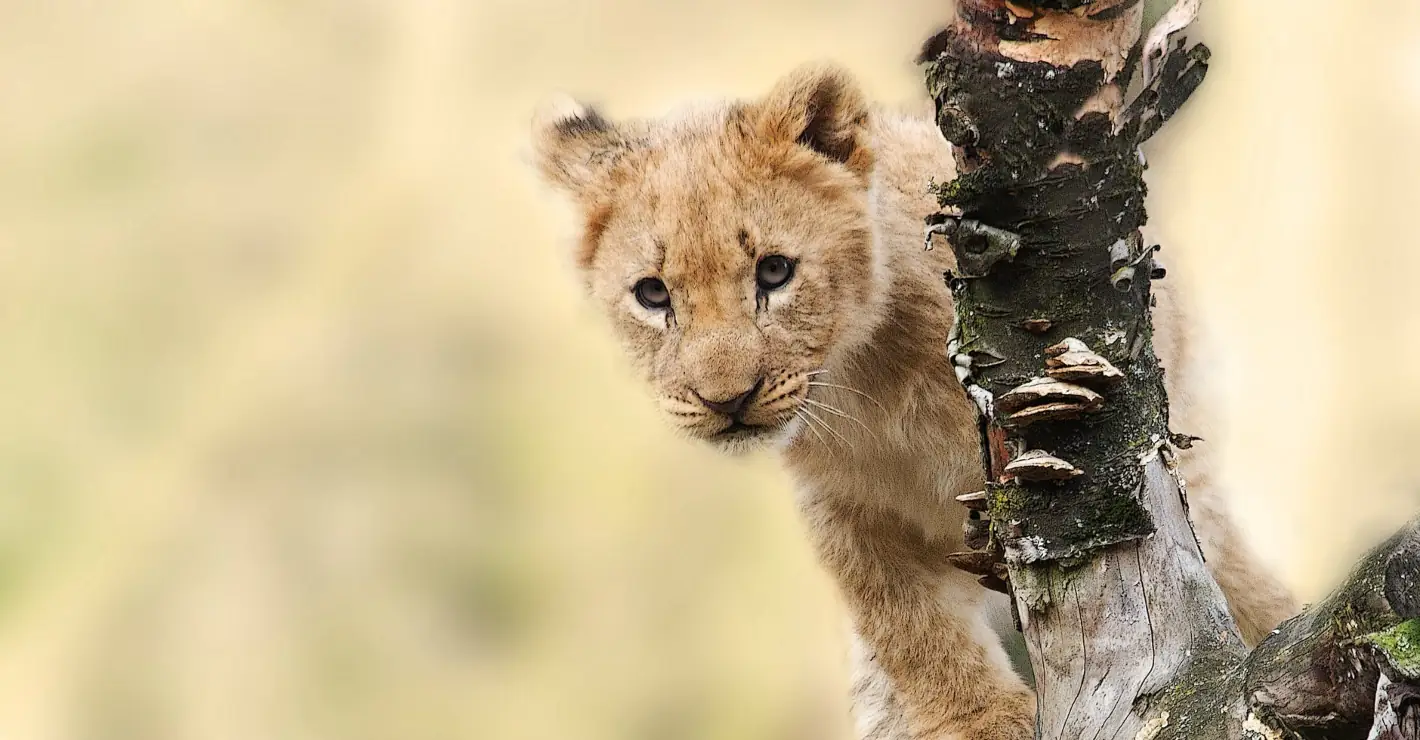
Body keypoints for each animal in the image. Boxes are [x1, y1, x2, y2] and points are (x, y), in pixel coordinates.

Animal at [530, 64, 1296, 740]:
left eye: (774, 272)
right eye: (652, 293)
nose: (727, 400)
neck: (863, 384)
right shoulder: (842, 508)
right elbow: (908, 627)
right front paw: (980, 723)